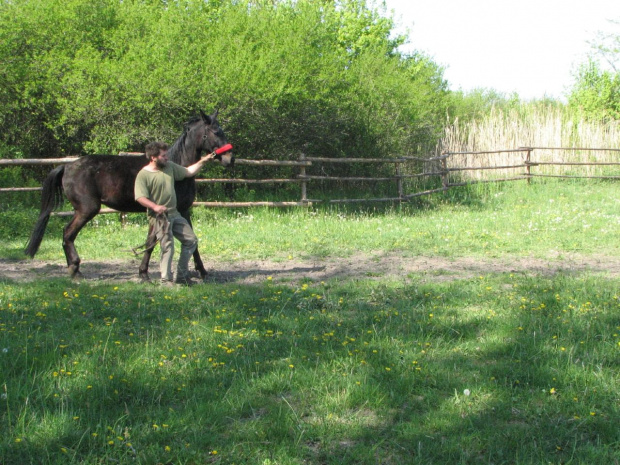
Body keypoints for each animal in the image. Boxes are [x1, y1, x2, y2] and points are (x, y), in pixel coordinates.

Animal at [23, 110, 232, 278]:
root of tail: (67, 166)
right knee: (68, 233)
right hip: (87, 210)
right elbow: (153, 241)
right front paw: (145, 273)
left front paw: (201, 271)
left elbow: (183, 241)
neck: (177, 167)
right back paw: (75, 270)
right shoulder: (162, 211)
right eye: (215, 132)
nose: (230, 158)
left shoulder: (180, 211)